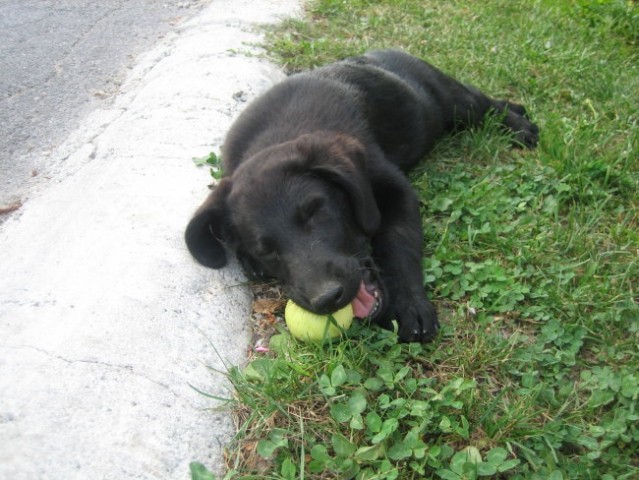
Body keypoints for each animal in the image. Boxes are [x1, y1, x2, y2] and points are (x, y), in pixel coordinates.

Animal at [186, 49, 540, 342]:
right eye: (266, 250)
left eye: (316, 211)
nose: (328, 298)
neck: (275, 137)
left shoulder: (395, 190)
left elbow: (395, 242)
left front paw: (408, 304)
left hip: (445, 100)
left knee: (483, 104)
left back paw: (519, 123)